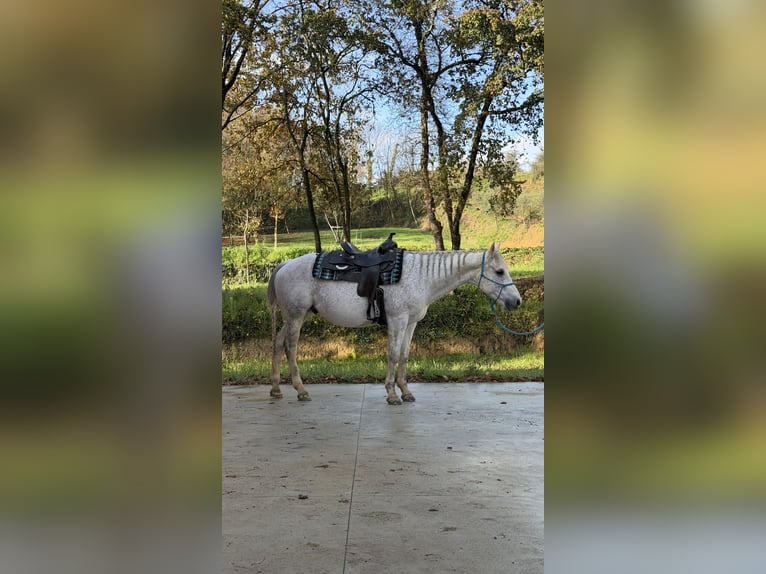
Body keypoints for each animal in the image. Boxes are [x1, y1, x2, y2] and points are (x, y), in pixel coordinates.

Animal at [266, 242, 522, 405]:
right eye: (500, 272)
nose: (517, 301)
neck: (421, 277)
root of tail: (284, 265)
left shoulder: (410, 323)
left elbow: (404, 355)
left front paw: (405, 391)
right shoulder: (397, 320)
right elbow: (392, 354)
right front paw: (391, 393)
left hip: (297, 316)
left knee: (277, 343)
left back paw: (276, 389)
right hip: (296, 316)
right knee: (290, 347)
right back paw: (301, 390)